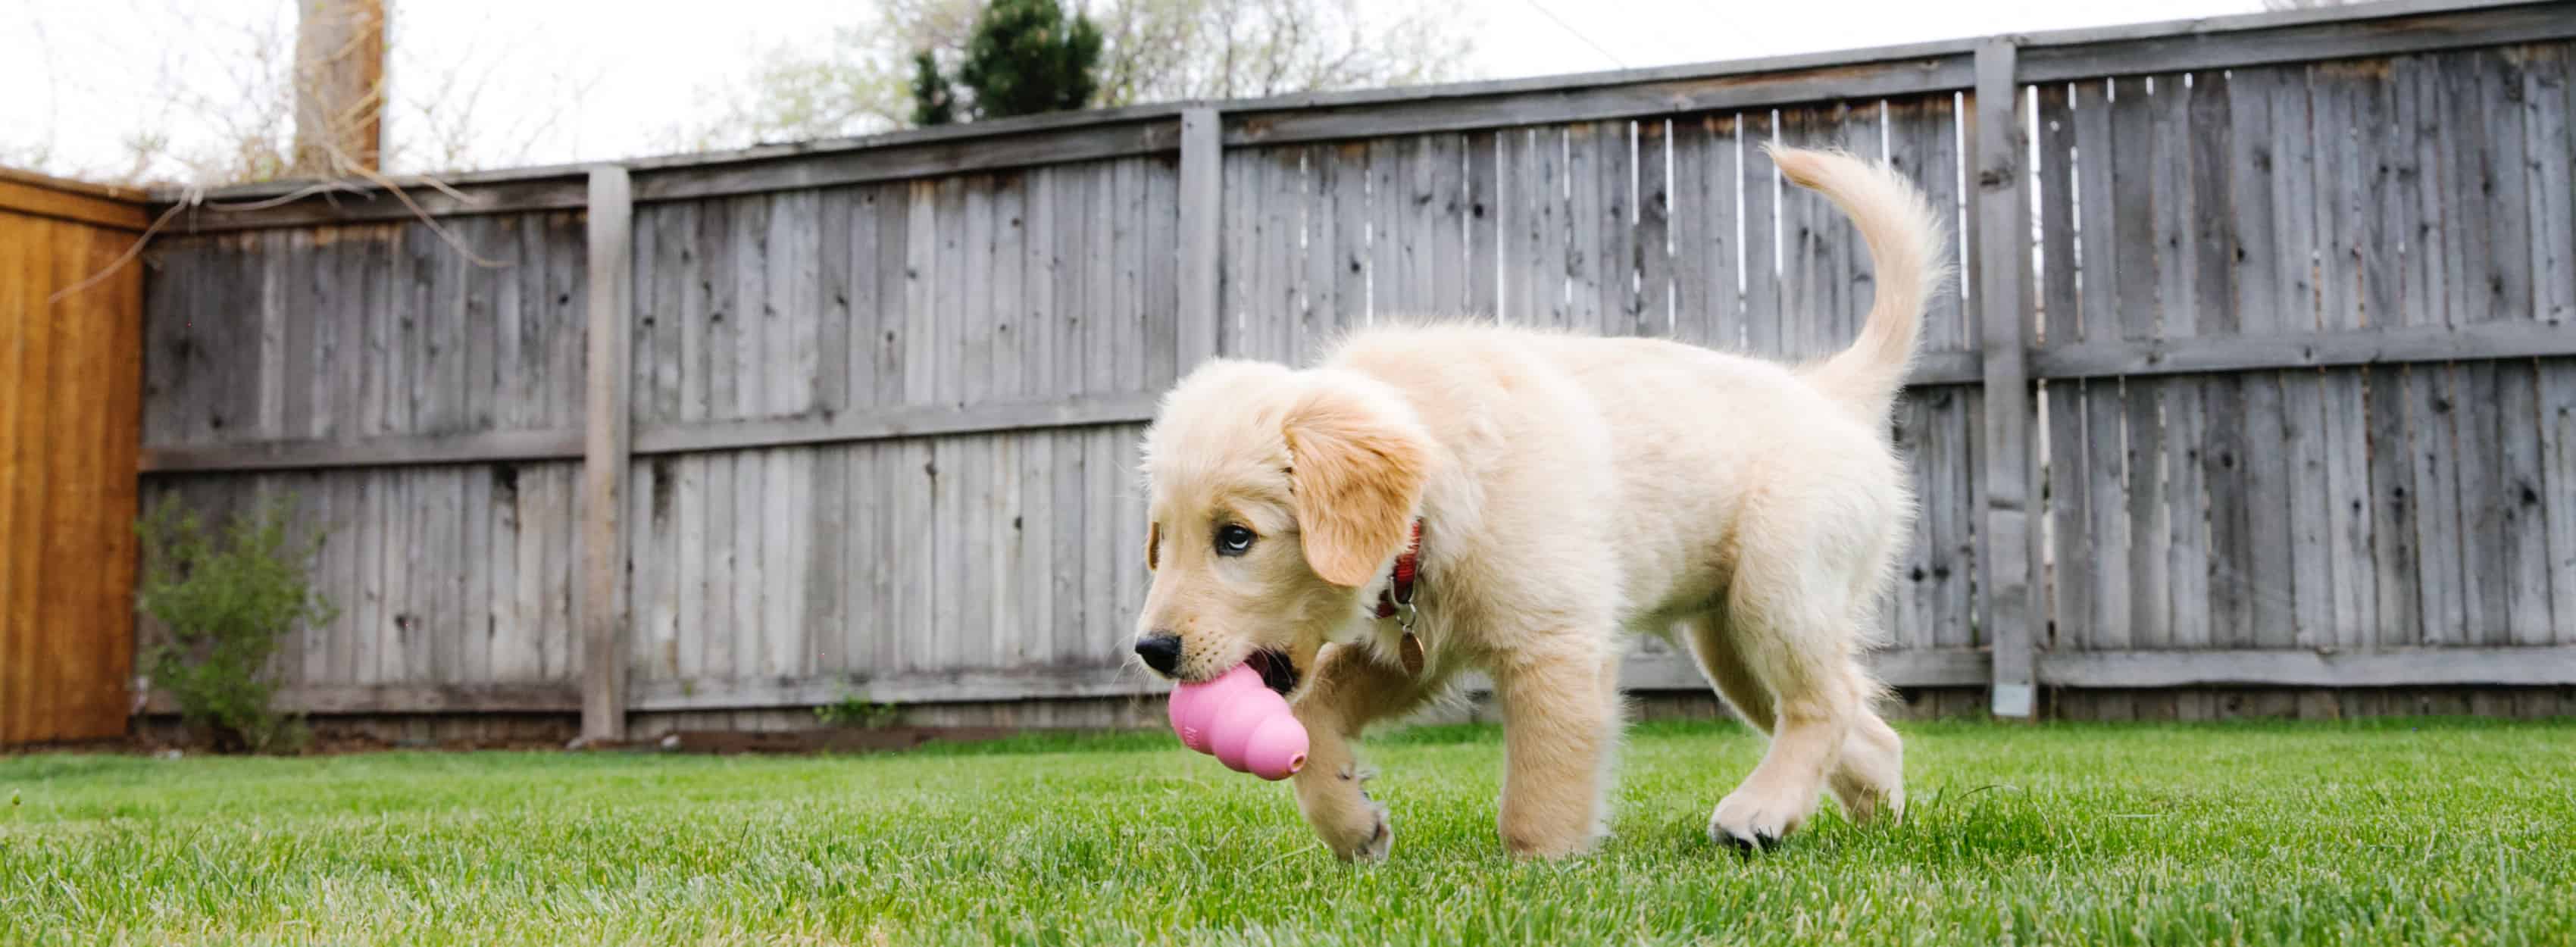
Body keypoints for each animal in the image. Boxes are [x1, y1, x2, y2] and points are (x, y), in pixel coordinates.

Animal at [1138, 145, 1937, 859]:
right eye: (1161, 539)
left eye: (1236, 538)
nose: (1152, 651)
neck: (1438, 488)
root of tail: (1828, 391)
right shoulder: (1411, 652)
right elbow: (1313, 711)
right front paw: (1352, 823)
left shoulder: (1554, 645)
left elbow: (1540, 790)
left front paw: (1540, 872)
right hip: (1730, 639)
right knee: (1866, 727)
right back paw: (1868, 823)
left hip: (1776, 590)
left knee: (1824, 703)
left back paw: (1760, 811)